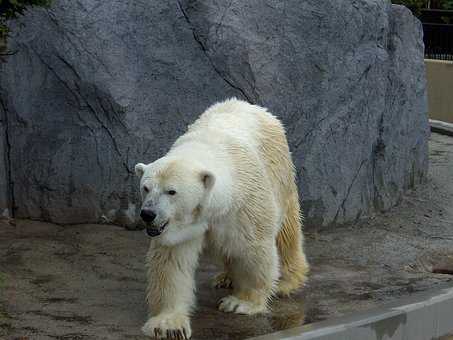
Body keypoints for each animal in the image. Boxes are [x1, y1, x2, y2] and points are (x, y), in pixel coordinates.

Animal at [135, 97, 308, 338]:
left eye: (171, 191)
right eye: (146, 188)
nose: (148, 214)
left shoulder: (245, 204)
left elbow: (253, 249)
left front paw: (241, 303)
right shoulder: (181, 228)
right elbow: (172, 262)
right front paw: (168, 324)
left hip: (279, 171)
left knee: (286, 232)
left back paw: (286, 281)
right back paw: (225, 277)